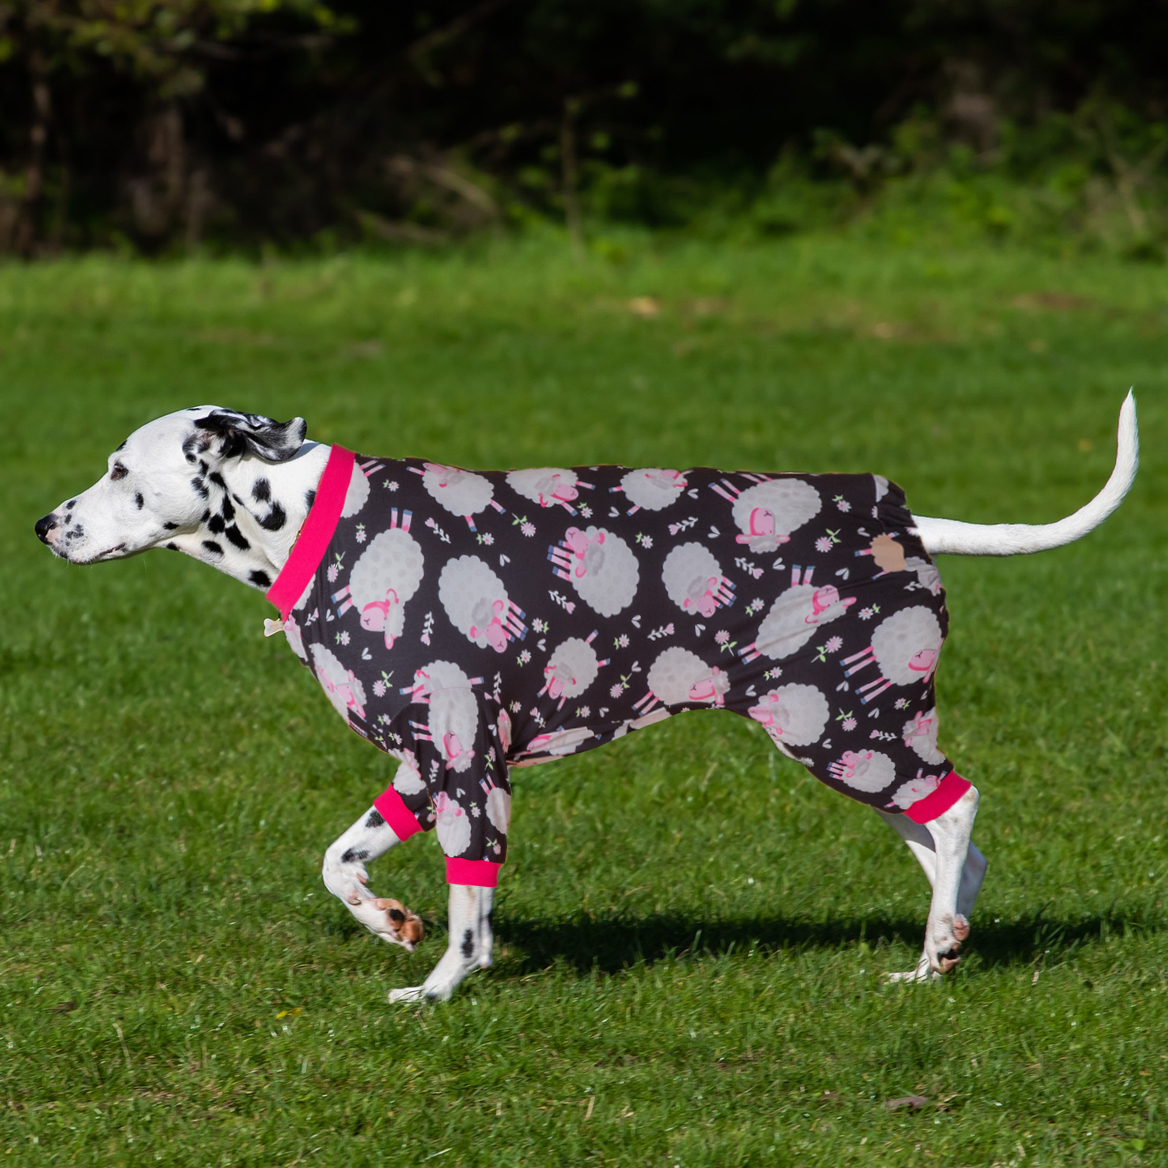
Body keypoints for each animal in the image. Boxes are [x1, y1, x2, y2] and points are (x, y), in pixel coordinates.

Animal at [333, 514, 425, 649]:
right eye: (384, 618)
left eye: (383, 625)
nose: (367, 621)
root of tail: (402, 533)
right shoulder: (358, 584)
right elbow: (346, 594)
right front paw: (336, 600)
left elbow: (347, 598)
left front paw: (339, 606)